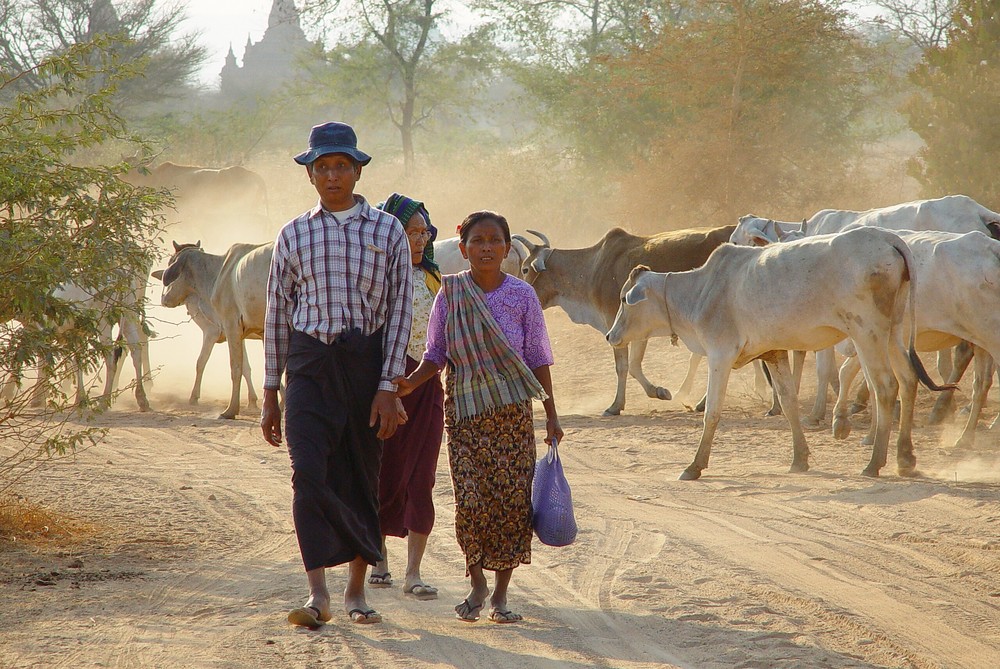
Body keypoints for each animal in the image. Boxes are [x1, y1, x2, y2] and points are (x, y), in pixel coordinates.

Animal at [604, 227, 948, 478]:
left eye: (623, 299)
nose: (610, 335)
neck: (701, 290)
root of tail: (887, 238)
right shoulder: (774, 353)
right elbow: (788, 402)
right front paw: (800, 459)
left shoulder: (720, 355)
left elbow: (712, 412)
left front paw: (694, 466)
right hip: (896, 330)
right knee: (908, 380)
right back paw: (905, 458)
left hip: (867, 333)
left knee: (886, 387)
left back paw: (874, 463)